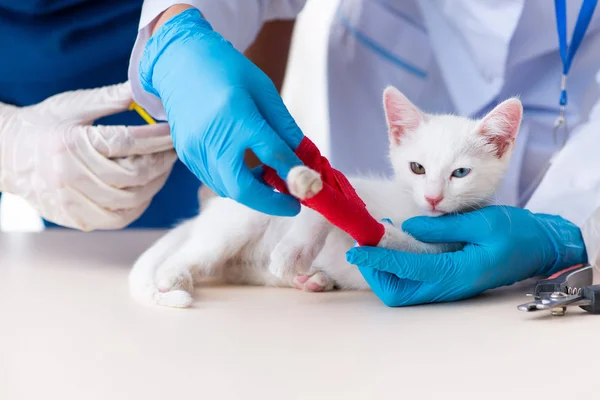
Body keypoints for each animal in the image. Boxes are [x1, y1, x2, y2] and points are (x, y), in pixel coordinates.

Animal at [129, 86, 524, 308]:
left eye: (460, 173)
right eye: (417, 168)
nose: (432, 198)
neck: (410, 208)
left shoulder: (446, 246)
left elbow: (399, 242)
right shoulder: (356, 190)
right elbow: (328, 205)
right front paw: (298, 242)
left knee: (232, 268)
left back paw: (306, 278)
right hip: (241, 221)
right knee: (192, 256)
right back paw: (174, 277)